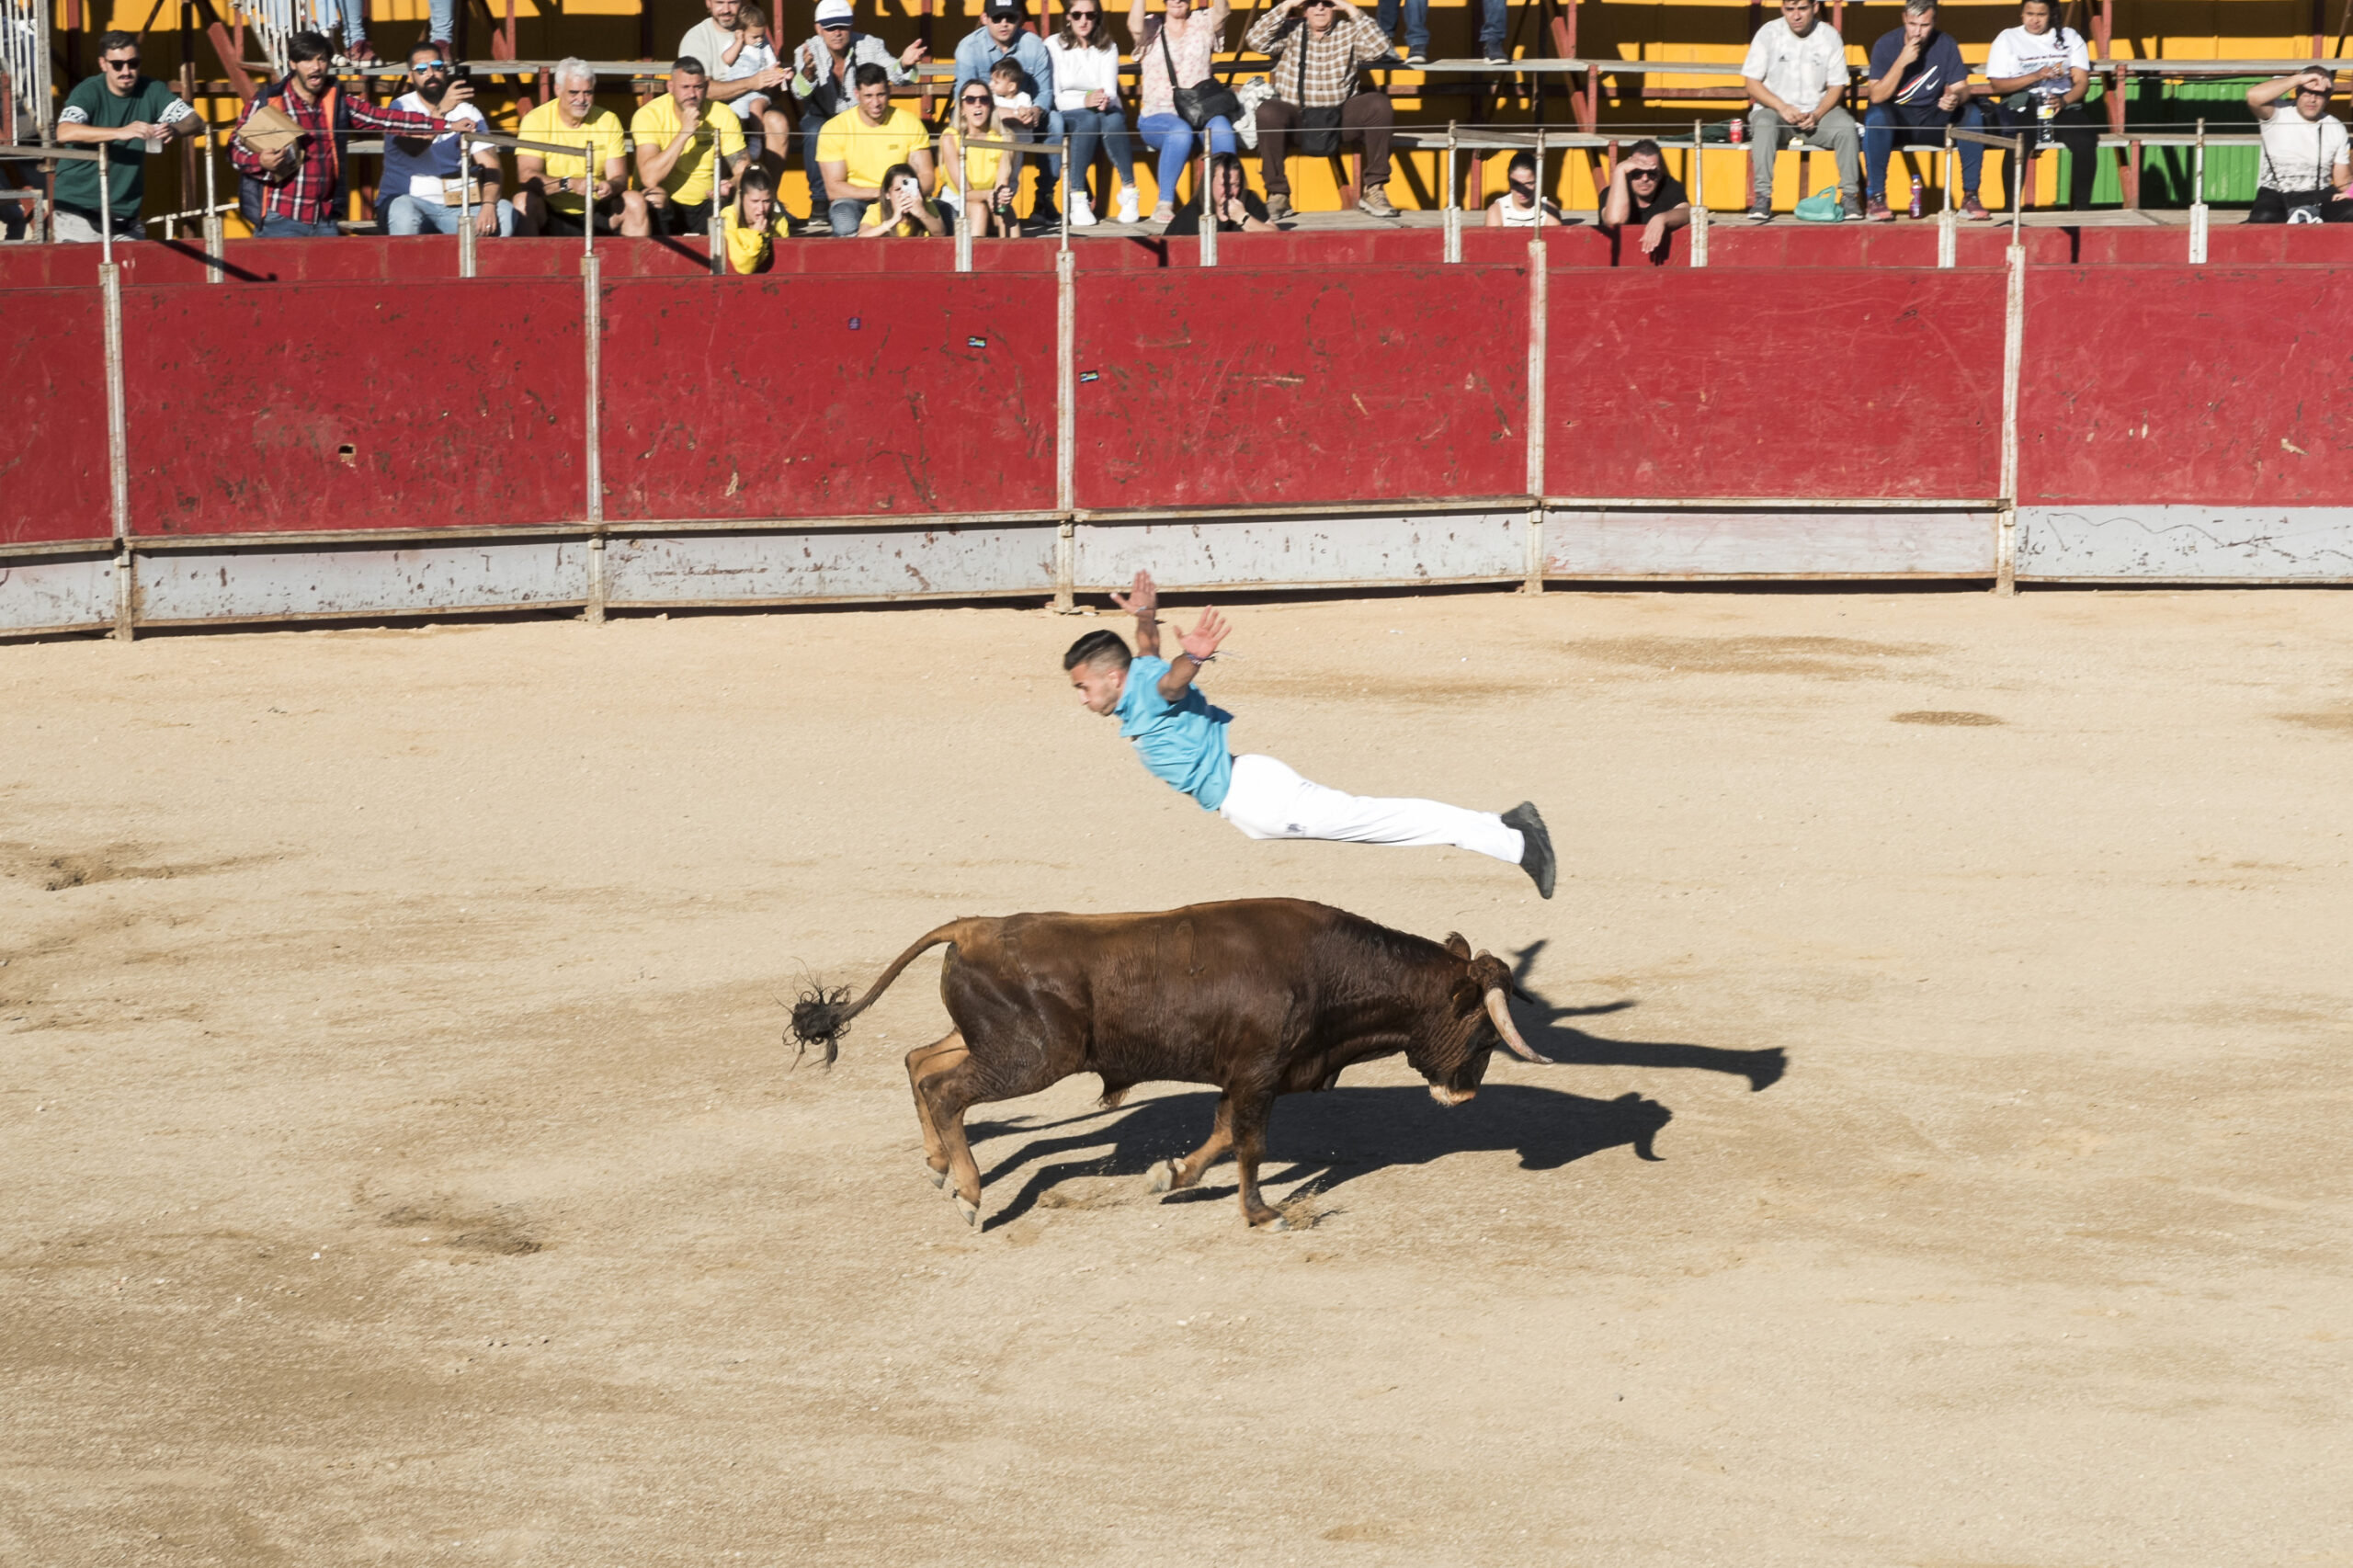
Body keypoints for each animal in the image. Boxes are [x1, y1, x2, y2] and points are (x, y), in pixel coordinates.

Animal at [786, 899, 1543, 1224]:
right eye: (1485, 1035)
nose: (1465, 1095)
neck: (1329, 971)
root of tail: (971, 927)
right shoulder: (1259, 1076)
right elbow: (1248, 1144)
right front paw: (1260, 1213)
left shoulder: (1243, 1077)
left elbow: (1219, 1137)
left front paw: (1170, 1177)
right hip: (1031, 1059)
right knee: (946, 1088)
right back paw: (971, 1196)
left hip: (994, 1043)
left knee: (920, 1061)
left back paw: (941, 1167)